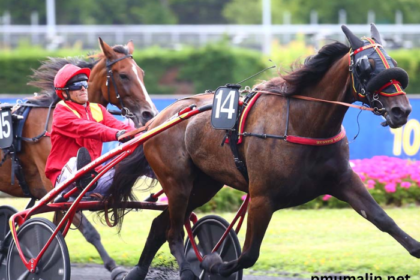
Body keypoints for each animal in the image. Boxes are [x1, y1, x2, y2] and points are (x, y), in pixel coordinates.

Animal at [0, 36, 157, 274]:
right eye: (123, 75)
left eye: (141, 73)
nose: (149, 113)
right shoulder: (56, 189)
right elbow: (86, 230)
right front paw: (113, 267)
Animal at [106, 24, 416, 280]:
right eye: (365, 66)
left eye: (393, 63)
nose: (401, 110)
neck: (303, 122)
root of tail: (158, 120)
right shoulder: (262, 198)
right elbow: (248, 255)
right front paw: (213, 263)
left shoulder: (342, 180)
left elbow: (383, 219)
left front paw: (416, 248)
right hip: (177, 182)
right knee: (172, 231)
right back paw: (186, 270)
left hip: (204, 184)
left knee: (161, 224)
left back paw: (137, 272)